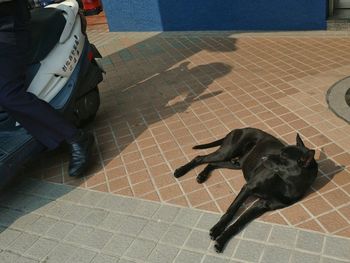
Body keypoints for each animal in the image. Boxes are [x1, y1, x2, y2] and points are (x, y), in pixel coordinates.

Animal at [174, 128, 318, 254]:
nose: (263, 157)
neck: (285, 183)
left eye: (283, 158)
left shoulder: (262, 205)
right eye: (280, 151)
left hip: (236, 164)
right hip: (227, 152)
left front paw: (222, 240)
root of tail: (241, 128)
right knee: (200, 158)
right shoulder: (248, 188)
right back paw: (180, 171)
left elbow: (238, 223)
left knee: (213, 164)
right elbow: (231, 211)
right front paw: (217, 229)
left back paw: (202, 175)